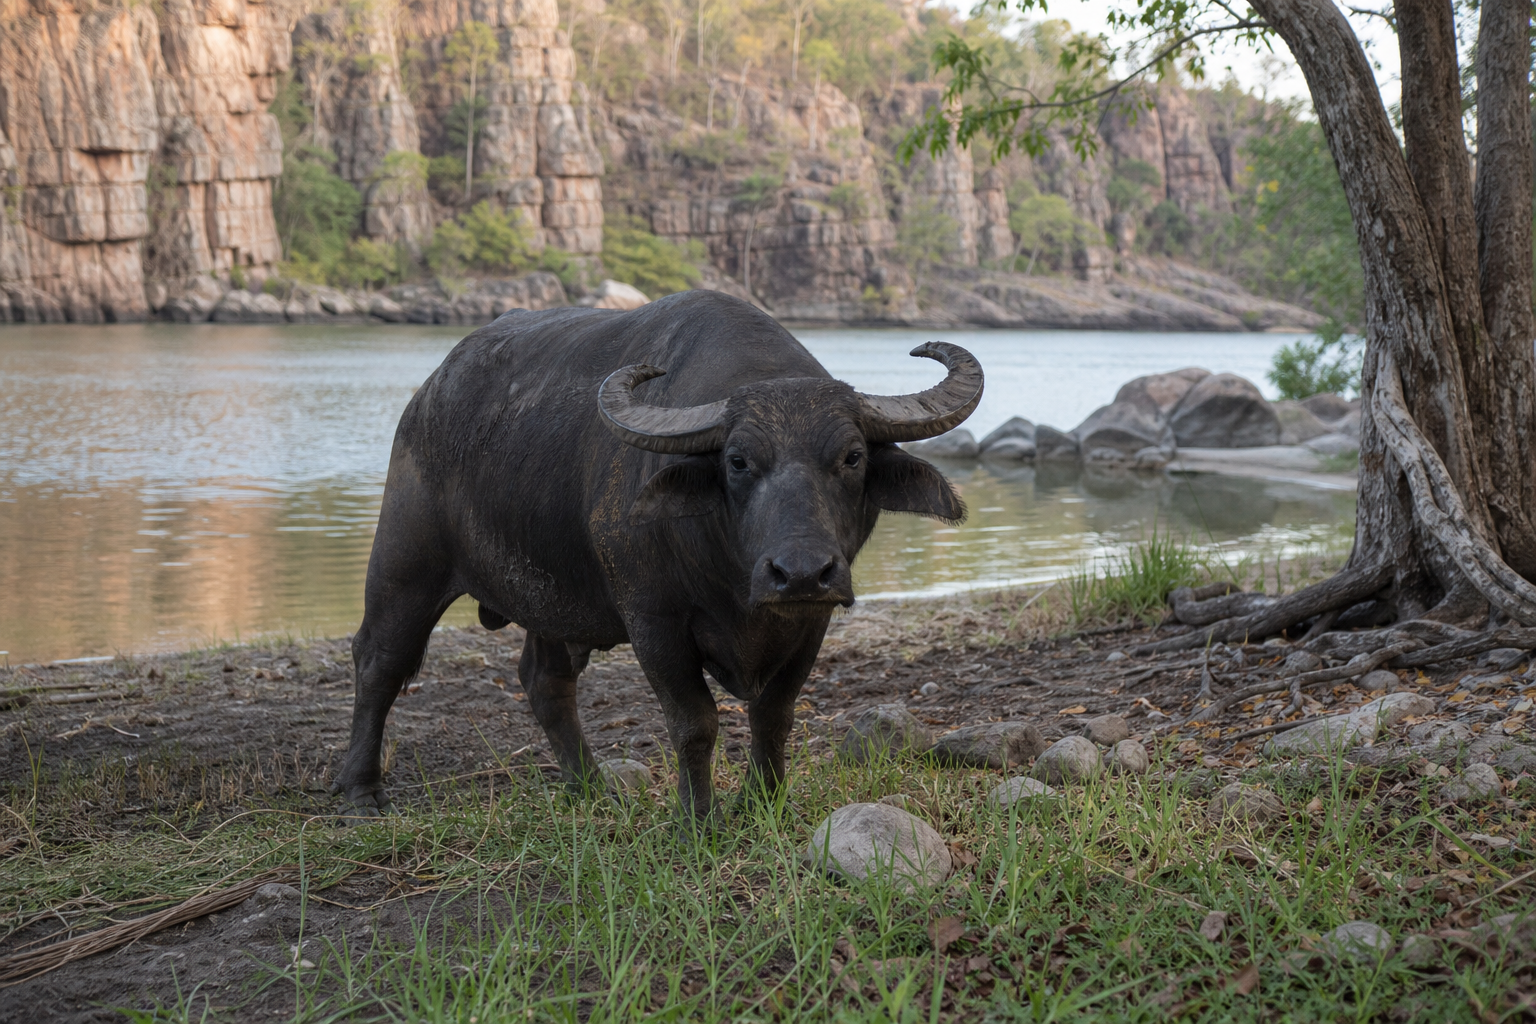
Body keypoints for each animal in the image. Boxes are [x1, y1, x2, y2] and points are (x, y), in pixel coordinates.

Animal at [334, 291, 982, 820]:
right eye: (737, 461)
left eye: (852, 457)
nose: (799, 572)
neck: (735, 586)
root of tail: (428, 395)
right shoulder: (654, 623)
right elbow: (695, 722)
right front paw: (698, 818)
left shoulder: (811, 622)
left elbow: (774, 714)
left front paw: (764, 803)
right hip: (405, 562)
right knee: (380, 660)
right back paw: (361, 792)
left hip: (551, 600)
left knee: (545, 680)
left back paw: (589, 786)